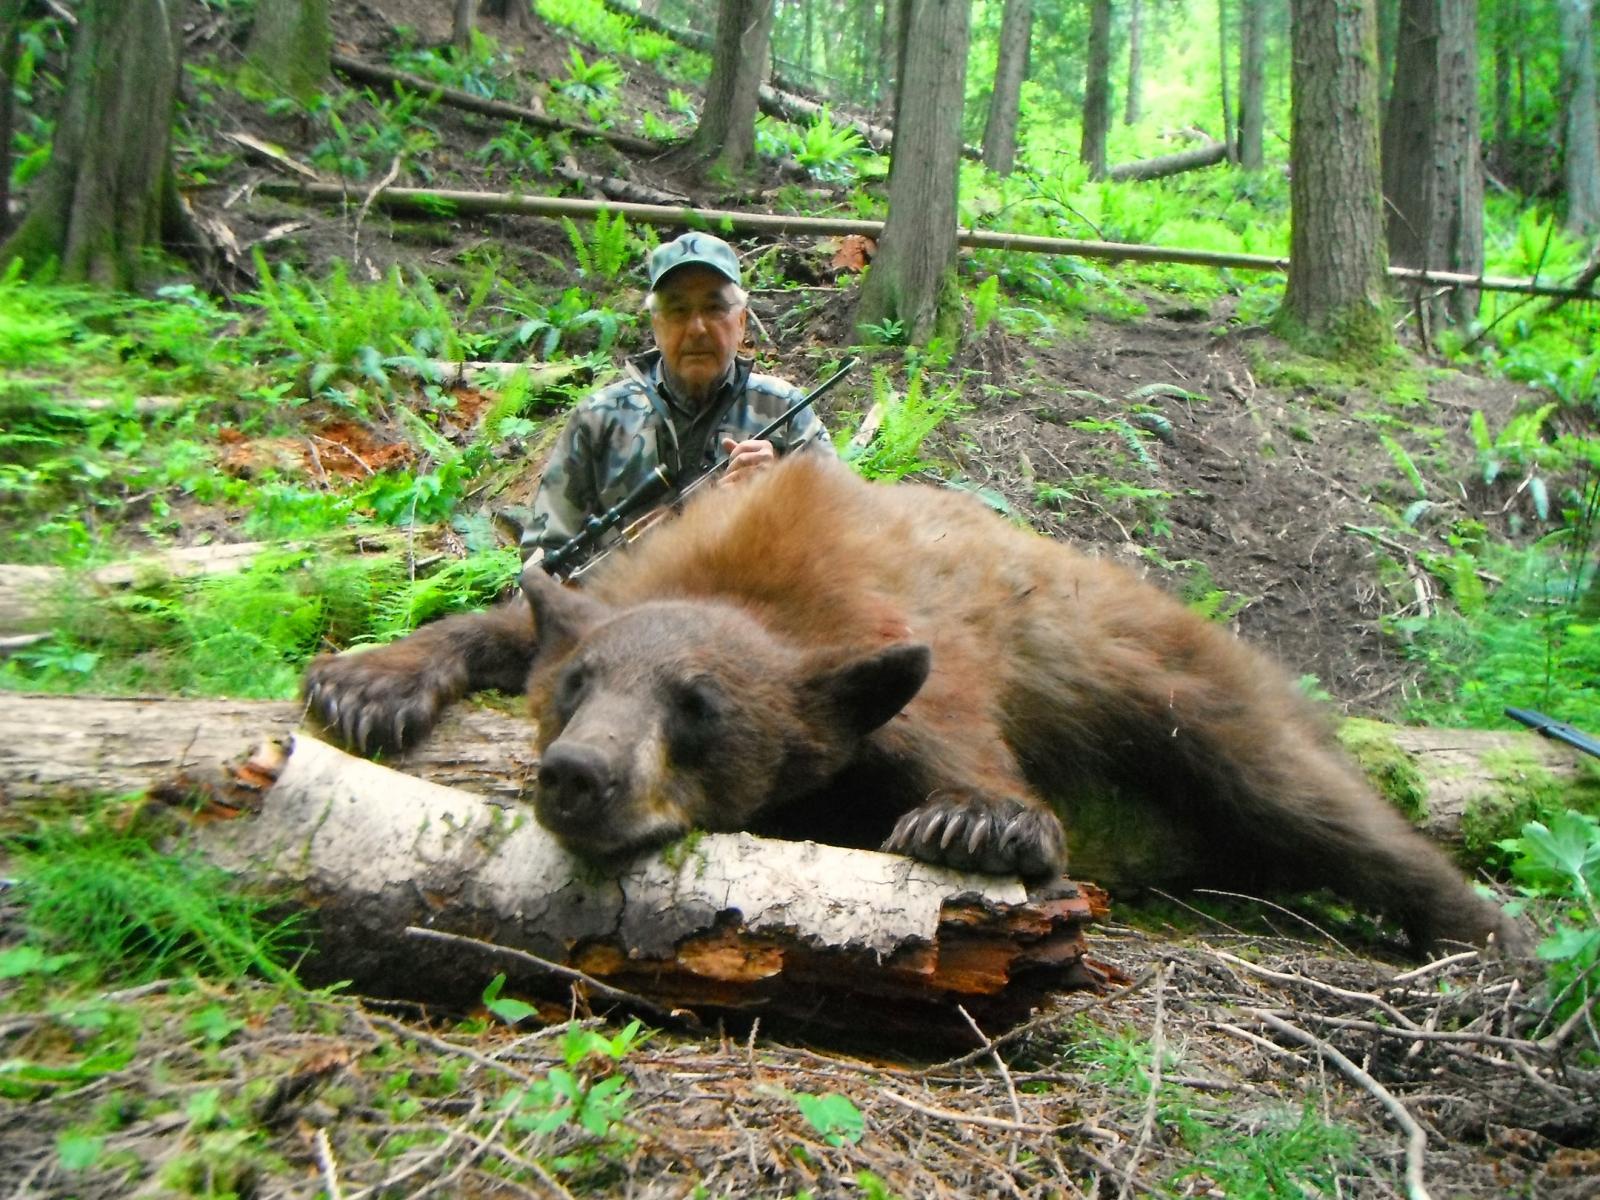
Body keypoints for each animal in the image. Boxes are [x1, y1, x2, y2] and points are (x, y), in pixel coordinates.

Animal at [305, 454, 1516, 960]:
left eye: (698, 708)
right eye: (576, 691)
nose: (578, 777)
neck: (766, 575)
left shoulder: (903, 635)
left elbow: (954, 734)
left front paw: (978, 821)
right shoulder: (631, 577)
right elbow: (510, 617)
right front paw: (366, 681)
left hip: (1187, 689)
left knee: (1310, 801)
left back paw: (1480, 933)